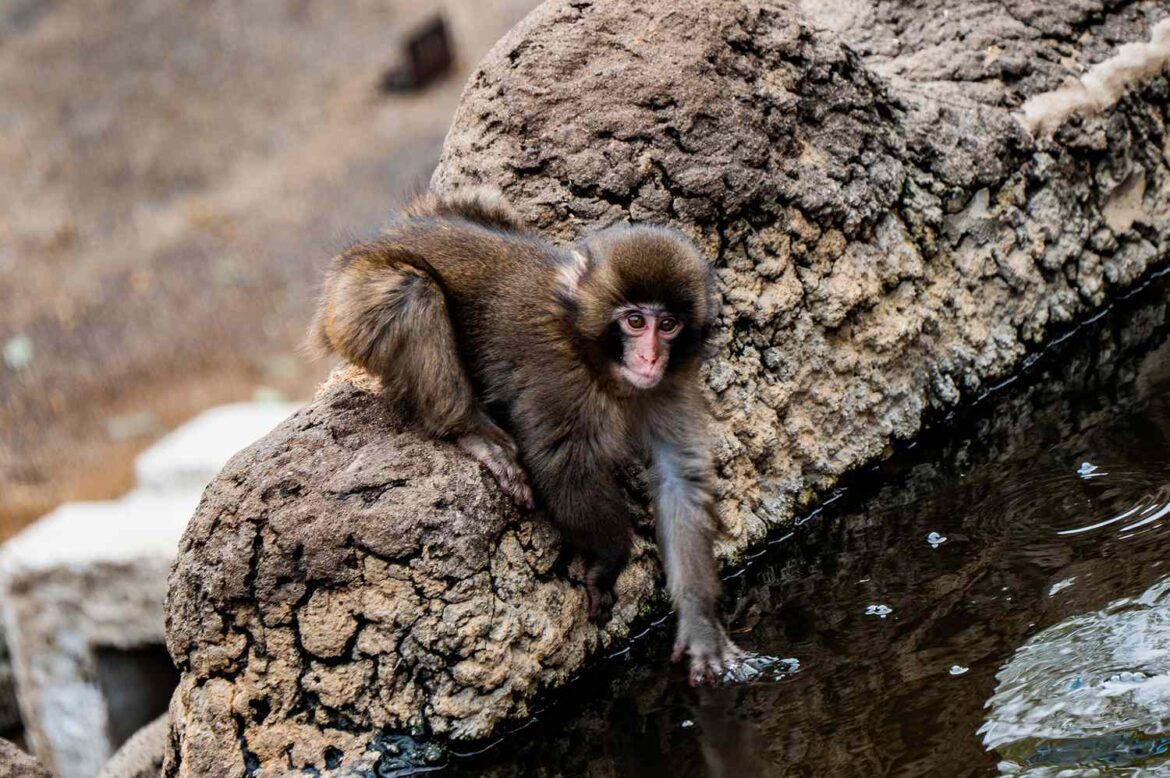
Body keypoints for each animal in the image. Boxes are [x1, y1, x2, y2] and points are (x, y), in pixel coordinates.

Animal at [311, 188, 746, 683]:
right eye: (635, 322)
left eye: (668, 325)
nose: (651, 358)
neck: (592, 351)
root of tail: (366, 246)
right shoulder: (561, 380)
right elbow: (564, 471)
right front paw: (609, 562)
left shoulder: (672, 385)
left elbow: (679, 480)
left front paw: (700, 622)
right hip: (354, 297)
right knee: (411, 293)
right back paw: (469, 429)